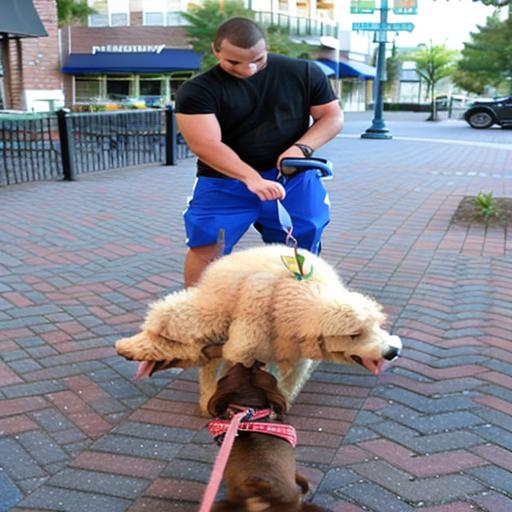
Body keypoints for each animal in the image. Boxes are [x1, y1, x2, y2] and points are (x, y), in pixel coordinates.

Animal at [116, 245, 401, 414]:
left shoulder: (294, 357)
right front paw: (211, 403)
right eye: (354, 334)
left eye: (375, 325)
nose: (393, 351)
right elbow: (214, 379)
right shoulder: (239, 349)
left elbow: (285, 386)